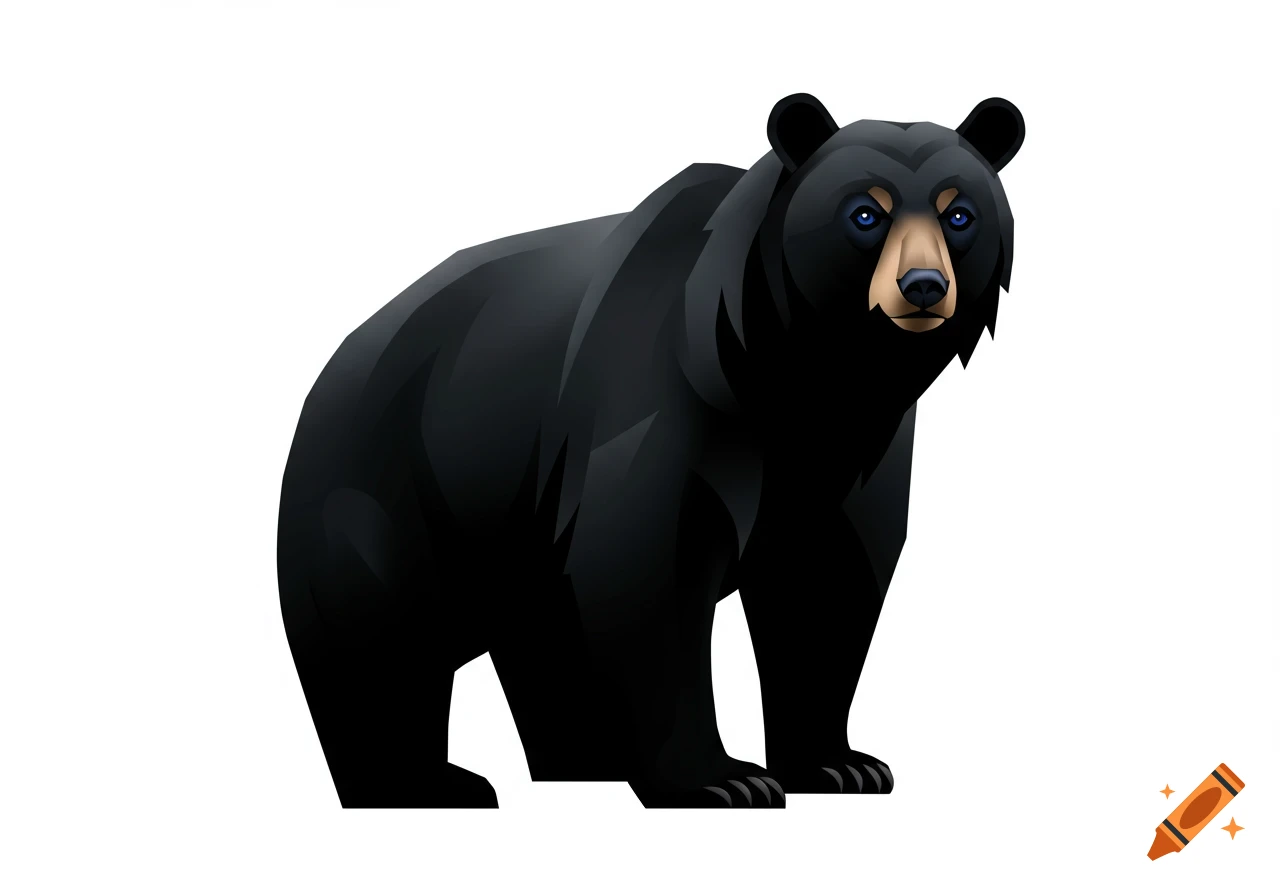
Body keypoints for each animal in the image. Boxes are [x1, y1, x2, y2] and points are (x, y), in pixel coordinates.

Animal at [276, 94, 1023, 809]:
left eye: (961, 215)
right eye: (865, 212)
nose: (923, 285)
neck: (798, 372)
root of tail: (330, 368)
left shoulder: (853, 452)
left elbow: (828, 580)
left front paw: (842, 764)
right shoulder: (664, 399)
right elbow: (650, 564)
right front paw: (723, 781)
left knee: (545, 638)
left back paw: (582, 762)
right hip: (388, 483)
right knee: (377, 634)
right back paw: (425, 785)